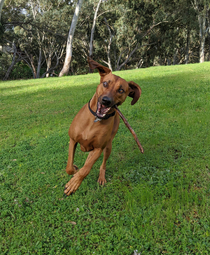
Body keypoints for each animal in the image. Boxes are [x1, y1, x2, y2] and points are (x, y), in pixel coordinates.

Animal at [64, 59, 141, 195]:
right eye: (105, 83)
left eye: (121, 90)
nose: (106, 100)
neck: (95, 120)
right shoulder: (72, 140)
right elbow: (69, 166)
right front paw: (74, 170)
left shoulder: (99, 148)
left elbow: (86, 169)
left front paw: (75, 182)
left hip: (108, 146)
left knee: (101, 164)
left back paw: (101, 177)